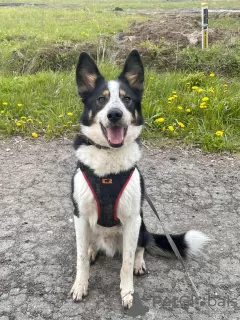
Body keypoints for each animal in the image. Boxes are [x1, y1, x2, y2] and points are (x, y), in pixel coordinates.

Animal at [70, 50, 209, 310]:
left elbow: (125, 262)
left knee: (139, 247)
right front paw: (80, 285)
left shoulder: (132, 218)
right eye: (101, 100)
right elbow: (81, 257)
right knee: (91, 244)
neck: (108, 161)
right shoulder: (80, 216)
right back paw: (94, 249)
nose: (115, 114)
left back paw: (138, 263)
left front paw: (127, 293)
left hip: (141, 224)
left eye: (127, 100)